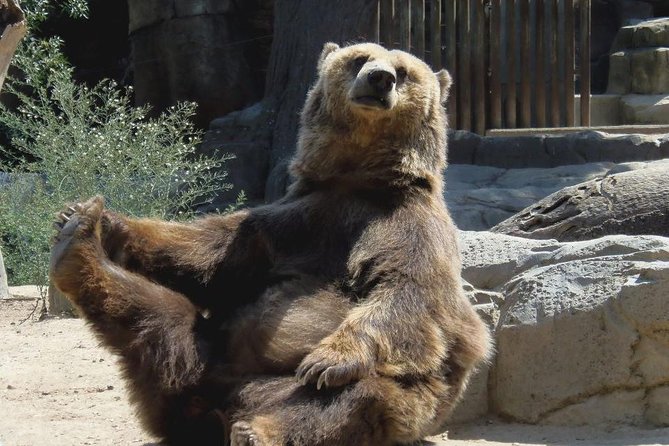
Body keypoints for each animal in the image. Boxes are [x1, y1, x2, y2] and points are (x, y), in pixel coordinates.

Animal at [50, 42, 492, 446]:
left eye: (403, 70)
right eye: (359, 59)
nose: (379, 79)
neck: (359, 180)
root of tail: (218, 406)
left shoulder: (408, 228)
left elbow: (407, 292)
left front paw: (330, 358)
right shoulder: (297, 220)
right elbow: (209, 253)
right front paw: (99, 218)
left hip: (365, 399)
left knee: (343, 400)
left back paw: (258, 430)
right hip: (205, 356)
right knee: (160, 318)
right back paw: (77, 242)